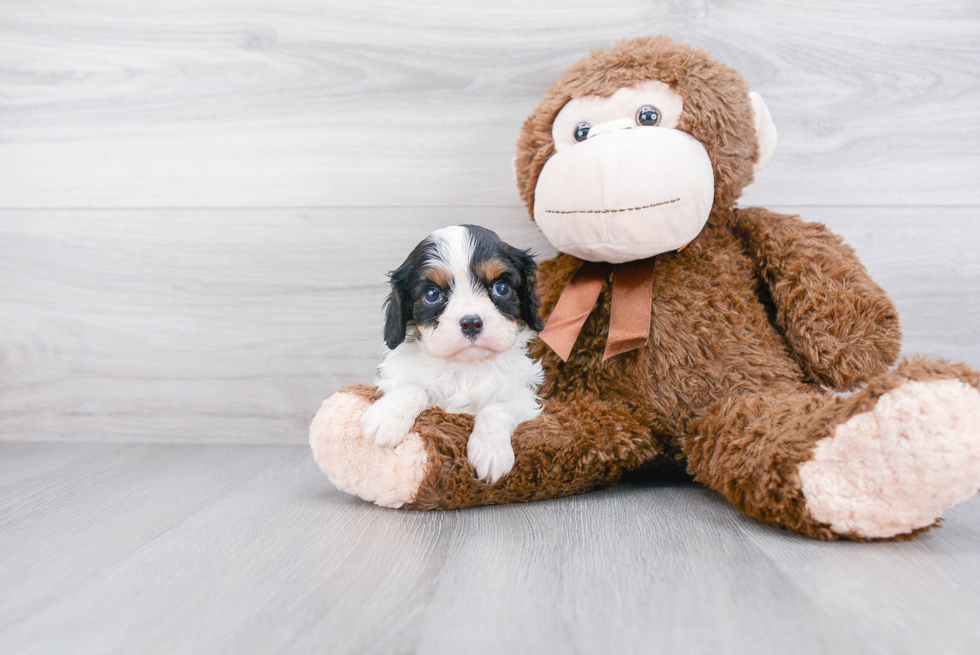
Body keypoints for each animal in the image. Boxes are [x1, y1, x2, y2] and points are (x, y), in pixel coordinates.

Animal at [362, 226, 548, 482]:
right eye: (432, 294)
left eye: (501, 288)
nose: (471, 322)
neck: (464, 366)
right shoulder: (397, 378)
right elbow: (412, 388)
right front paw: (387, 416)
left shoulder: (524, 398)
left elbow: (496, 408)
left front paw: (491, 451)